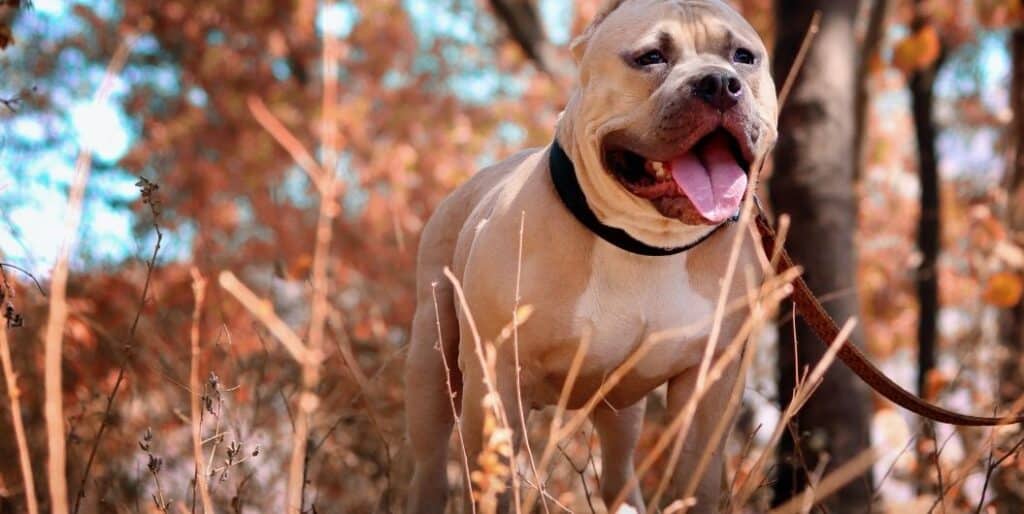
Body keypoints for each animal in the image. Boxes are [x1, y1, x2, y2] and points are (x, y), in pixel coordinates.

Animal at [403, 2, 778, 511]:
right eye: (650, 57)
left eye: (743, 57)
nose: (719, 83)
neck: (642, 243)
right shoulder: (496, 376)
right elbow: (496, 482)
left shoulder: (710, 385)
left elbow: (695, 481)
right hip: (432, 366)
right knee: (430, 464)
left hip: (621, 413)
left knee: (618, 471)